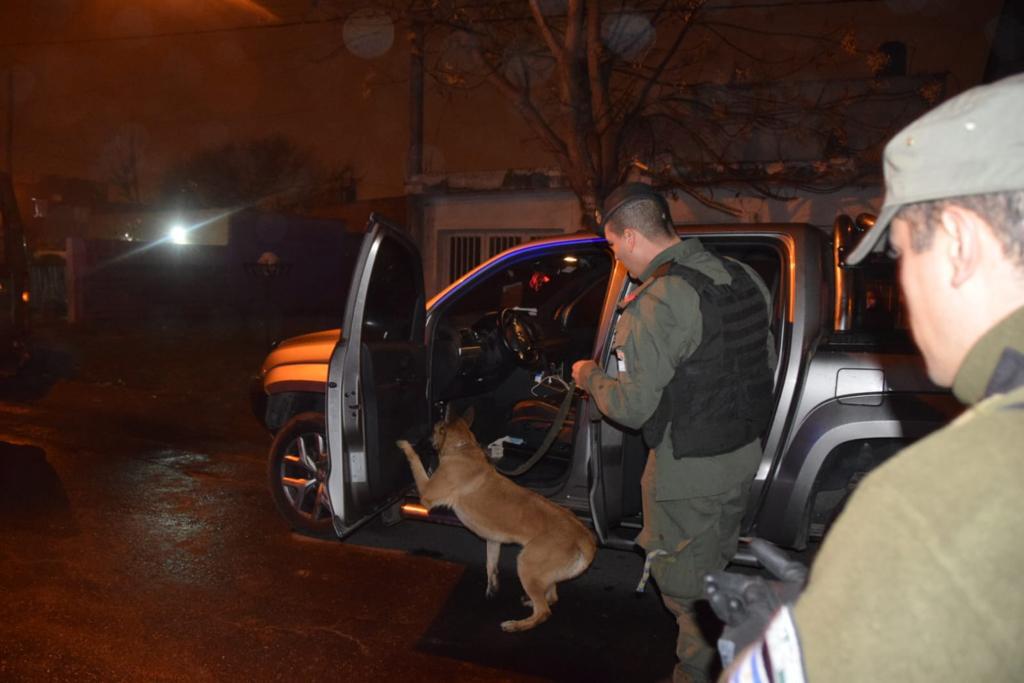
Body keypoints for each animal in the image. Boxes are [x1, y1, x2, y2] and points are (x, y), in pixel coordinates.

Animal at [395, 405, 598, 634]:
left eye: (434, 429)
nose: (422, 440)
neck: (462, 448)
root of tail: (582, 535)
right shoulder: (493, 541)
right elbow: (491, 565)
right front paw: (491, 588)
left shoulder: (426, 494)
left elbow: (416, 462)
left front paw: (406, 447)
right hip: (541, 572)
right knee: (551, 597)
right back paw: (531, 601)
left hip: (526, 564)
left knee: (544, 611)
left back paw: (516, 625)